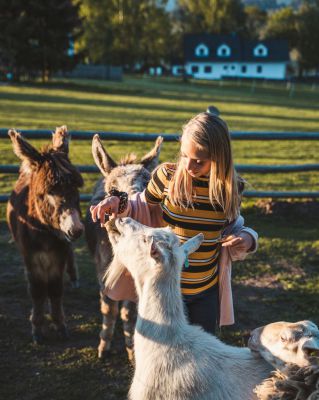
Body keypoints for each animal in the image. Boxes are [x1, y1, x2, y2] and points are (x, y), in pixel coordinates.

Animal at [6, 126, 84, 344]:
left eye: (76, 188)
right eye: (49, 192)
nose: (76, 229)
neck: (46, 234)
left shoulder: (59, 254)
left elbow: (56, 289)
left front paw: (60, 325)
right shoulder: (31, 258)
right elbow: (38, 291)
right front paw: (37, 329)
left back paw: (74, 278)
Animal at [85, 134, 162, 360]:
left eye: (148, 185)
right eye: (113, 190)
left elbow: (130, 311)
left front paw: (132, 350)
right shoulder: (102, 269)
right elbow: (109, 308)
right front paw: (103, 347)